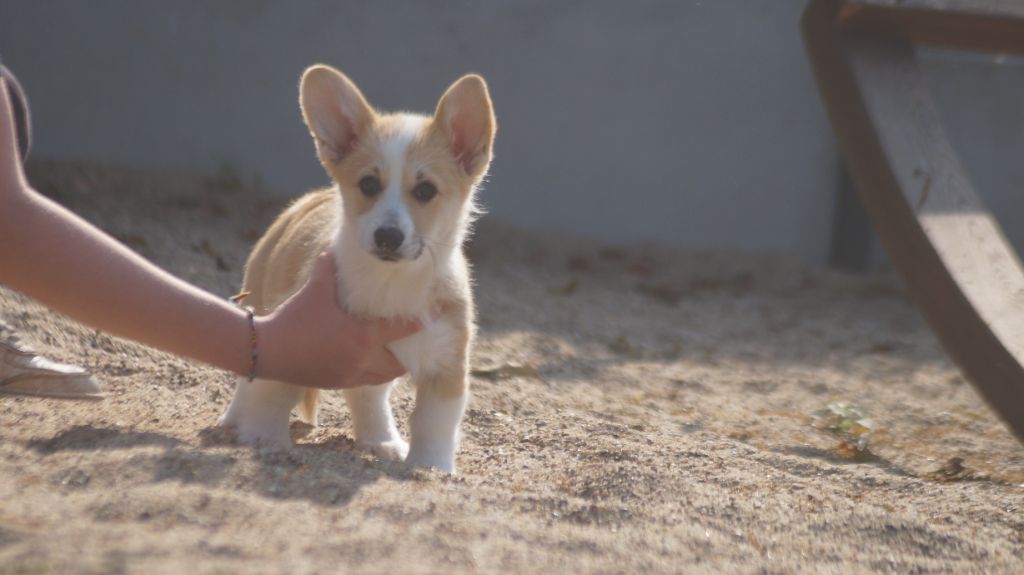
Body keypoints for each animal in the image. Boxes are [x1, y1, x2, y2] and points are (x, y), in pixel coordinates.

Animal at [218, 64, 497, 472]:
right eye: (368, 184)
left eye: (426, 190)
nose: (388, 236)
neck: (391, 283)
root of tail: (309, 200)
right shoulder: (297, 335)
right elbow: (274, 391)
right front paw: (264, 440)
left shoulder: (445, 363)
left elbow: (434, 423)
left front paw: (431, 468)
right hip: (258, 305)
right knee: (249, 375)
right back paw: (232, 422)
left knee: (368, 397)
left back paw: (381, 440)